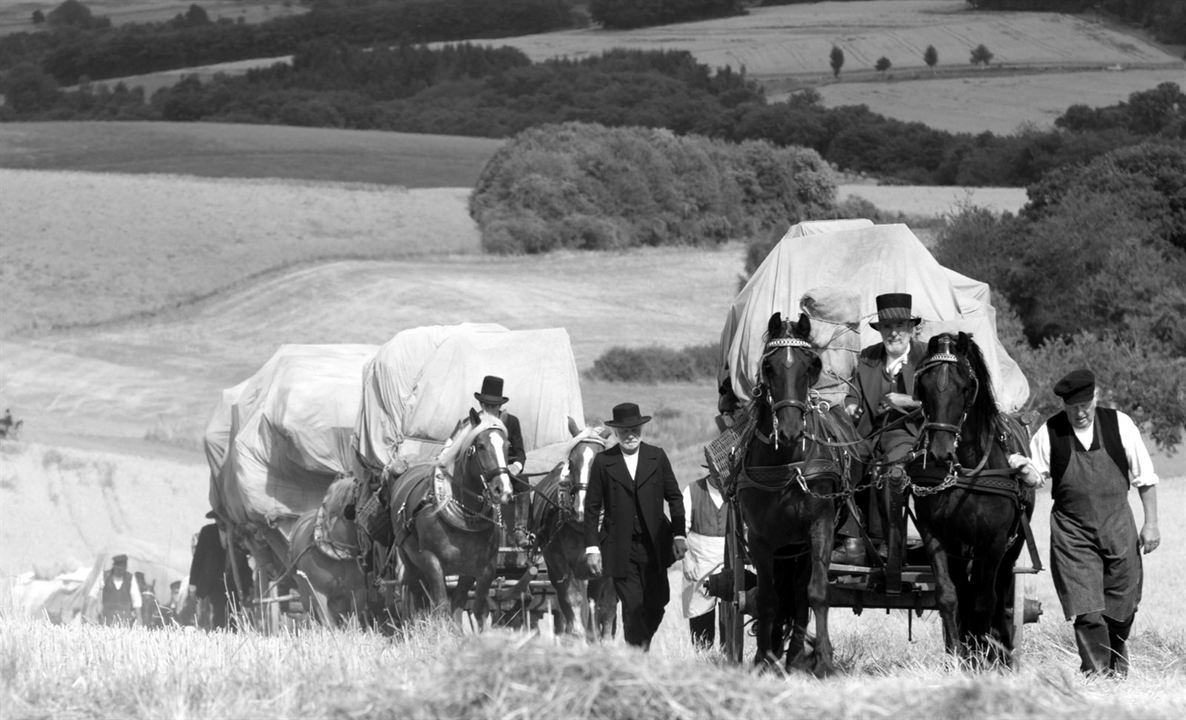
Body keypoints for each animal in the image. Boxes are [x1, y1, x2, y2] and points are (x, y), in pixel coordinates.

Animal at [735, 310, 858, 673]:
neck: (787, 462)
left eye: (811, 365)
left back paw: (799, 657)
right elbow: (767, 597)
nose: (790, 429)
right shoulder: (761, 538)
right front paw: (764, 658)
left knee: (801, 594)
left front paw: (824, 659)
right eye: (768, 366)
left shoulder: (820, 527)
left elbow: (817, 592)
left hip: (801, 546)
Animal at [910, 334, 1034, 668]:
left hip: (1011, 547)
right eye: (923, 385)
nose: (940, 453)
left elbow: (985, 600)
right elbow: (950, 596)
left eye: (965, 387)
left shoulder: (993, 542)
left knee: (998, 593)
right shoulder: (936, 536)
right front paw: (957, 656)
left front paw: (985, 657)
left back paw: (1000, 650)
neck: (966, 470)